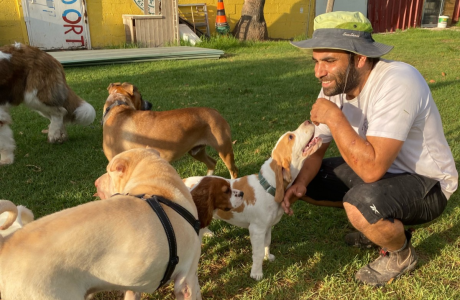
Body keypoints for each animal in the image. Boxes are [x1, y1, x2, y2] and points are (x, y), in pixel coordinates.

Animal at [0, 148, 202, 300]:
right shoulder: (186, 281)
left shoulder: (135, 282)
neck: (159, 187)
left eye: (109, 172)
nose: (96, 182)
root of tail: (6, 243)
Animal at [103, 82, 239, 179]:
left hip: (224, 150)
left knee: (233, 171)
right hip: (196, 151)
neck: (118, 106)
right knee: (212, 163)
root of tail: (215, 111)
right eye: (141, 96)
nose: (150, 104)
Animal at [181, 120, 322, 280]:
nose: (308, 121)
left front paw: (268, 257)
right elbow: (258, 253)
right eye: (291, 137)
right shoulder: (256, 230)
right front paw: (257, 273)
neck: (268, 186)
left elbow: (267, 243)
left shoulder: (267, 227)